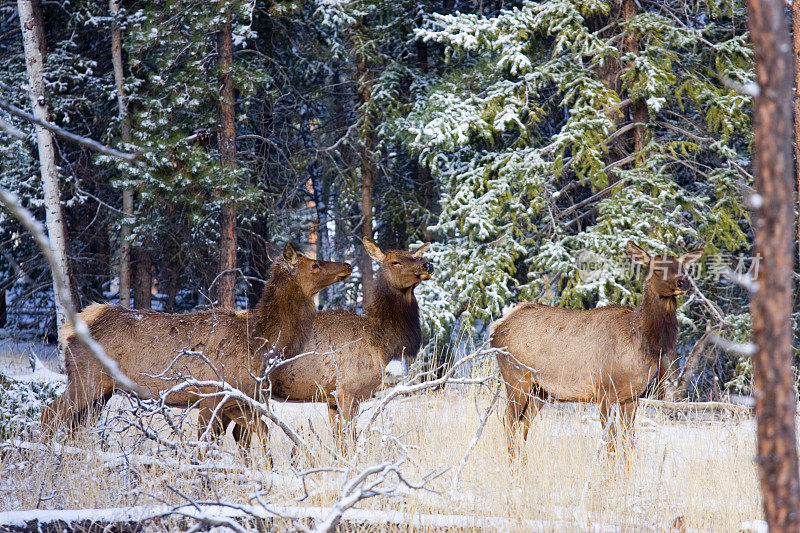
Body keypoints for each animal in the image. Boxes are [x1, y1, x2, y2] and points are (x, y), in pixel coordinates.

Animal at [41, 243, 350, 442]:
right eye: (315, 264)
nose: (346, 265)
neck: (259, 344)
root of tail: (71, 327)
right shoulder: (211, 396)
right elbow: (204, 445)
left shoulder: (239, 401)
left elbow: (258, 436)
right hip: (86, 379)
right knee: (49, 415)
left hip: (102, 392)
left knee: (73, 426)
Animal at [203, 239, 434, 450]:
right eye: (396, 261)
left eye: (414, 255)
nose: (427, 265)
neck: (382, 341)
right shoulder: (348, 390)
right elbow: (349, 440)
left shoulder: (331, 398)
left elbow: (340, 441)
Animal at [490, 240, 704, 454]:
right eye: (657, 268)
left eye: (683, 267)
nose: (683, 283)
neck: (642, 342)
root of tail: (497, 328)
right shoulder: (604, 391)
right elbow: (610, 444)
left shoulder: (633, 396)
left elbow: (629, 444)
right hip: (516, 377)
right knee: (508, 422)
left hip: (540, 390)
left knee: (523, 425)